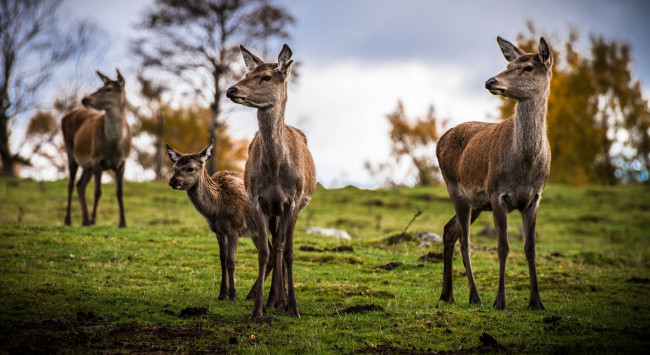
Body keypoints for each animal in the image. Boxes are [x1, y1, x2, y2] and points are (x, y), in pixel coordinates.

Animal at [62, 69, 131, 228]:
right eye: (99, 87)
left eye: (108, 89)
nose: (85, 99)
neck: (114, 146)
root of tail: (64, 117)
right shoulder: (97, 159)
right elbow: (97, 191)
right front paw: (94, 219)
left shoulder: (122, 162)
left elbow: (120, 192)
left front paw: (123, 223)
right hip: (71, 152)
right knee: (71, 184)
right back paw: (69, 220)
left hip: (88, 165)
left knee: (80, 185)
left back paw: (84, 220)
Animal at [167, 140, 274, 302]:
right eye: (174, 168)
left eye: (191, 168)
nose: (173, 181)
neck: (217, 208)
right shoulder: (218, 231)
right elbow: (222, 260)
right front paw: (222, 294)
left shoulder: (235, 227)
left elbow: (231, 261)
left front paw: (233, 295)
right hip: (256, 232)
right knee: (271, 254)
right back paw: (251, 294)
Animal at [225, 44, 316, 320]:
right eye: (247, 73)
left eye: (266, 76)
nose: (231, 90)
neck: (276, 172)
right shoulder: (258, 200)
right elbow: (264, 252)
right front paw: (258, 310)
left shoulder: (293, 201)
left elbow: (288, 252)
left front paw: (294, 308)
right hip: (274, 210)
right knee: (274, 245)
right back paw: (274, 299)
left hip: (286, 208)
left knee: (280, 246)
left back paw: (281, 300)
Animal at [436, 36, 552, 312]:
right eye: (508, 65)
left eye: (528, 67)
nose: (491, 81)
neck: (525, 165)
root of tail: (439, 140)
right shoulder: (498, 194)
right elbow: (503, 247)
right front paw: (500, 301)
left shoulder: (534, 198)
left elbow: (530, 248)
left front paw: (537, 302)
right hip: (456, 190)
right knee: (465, 241)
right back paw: (474, 296)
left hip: (477, 203)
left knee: (450, 230)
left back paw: (447, 294)